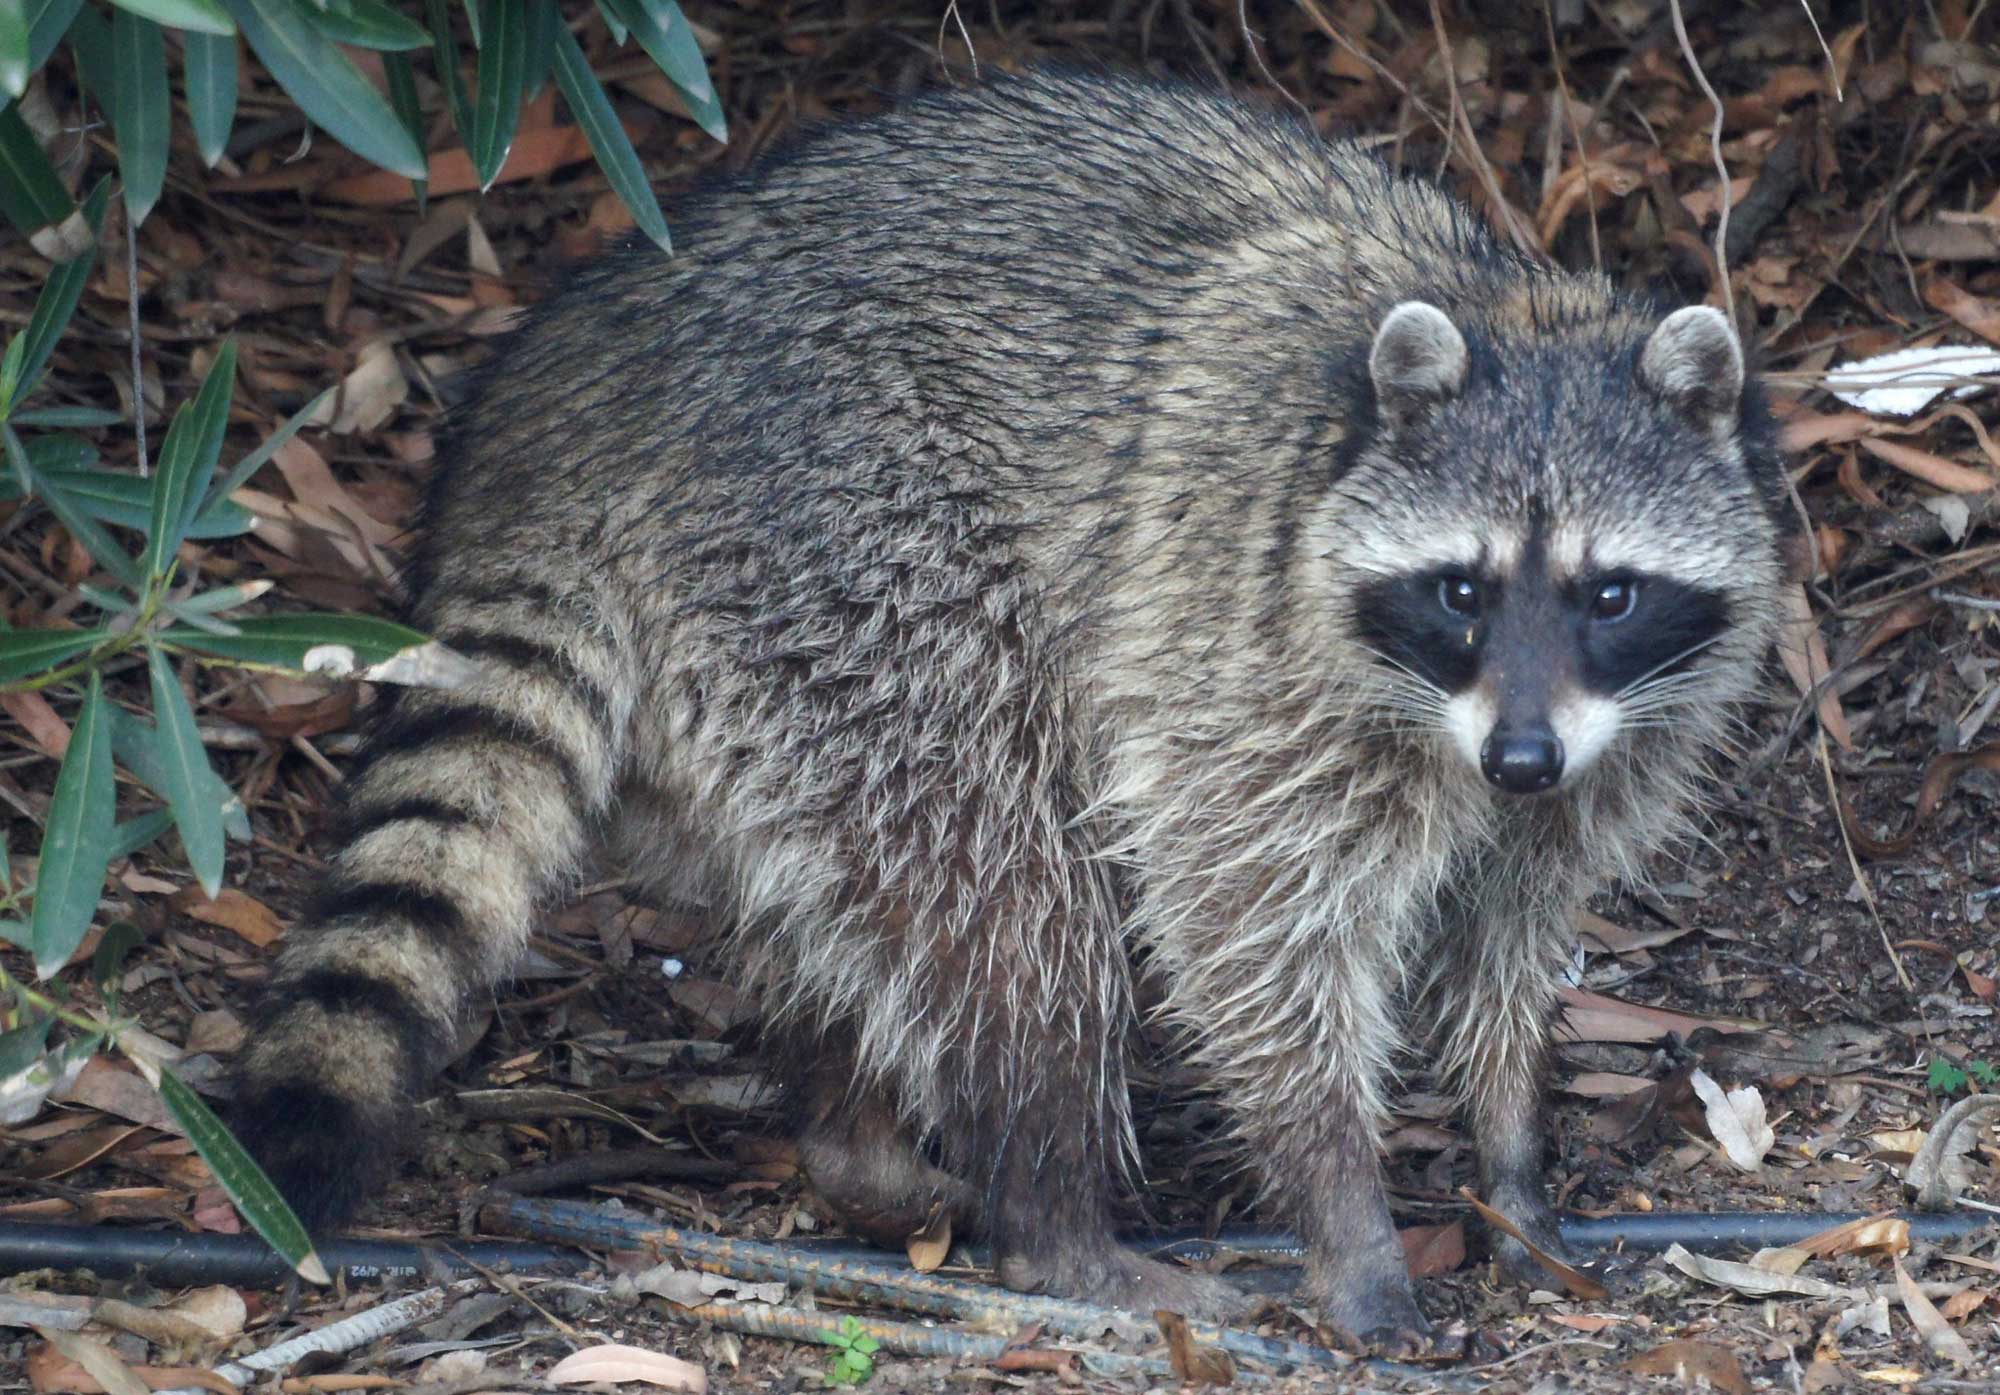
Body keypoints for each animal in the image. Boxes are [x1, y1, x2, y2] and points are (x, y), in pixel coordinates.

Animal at [231, 70, 1794, 1342]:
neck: (1508, 312)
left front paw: (1511, 1142)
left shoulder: (1619, 727)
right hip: (852, 558)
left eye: (1606, 593)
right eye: (1463, 587)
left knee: (855, 900)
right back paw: (1056, 1222)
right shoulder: (1240, 649)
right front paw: (1340, 1198)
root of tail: (572, 403)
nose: (1519, 757)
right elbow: (1248, 924)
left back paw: (858, 1137)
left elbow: (1515, 922)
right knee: (1006, 886)